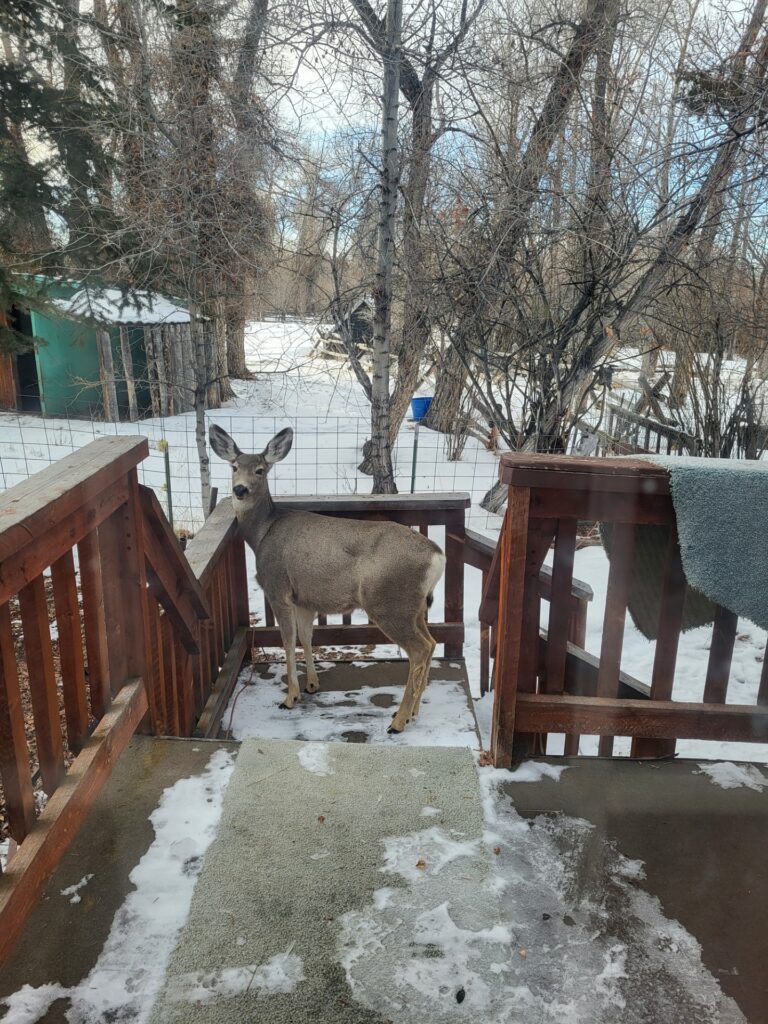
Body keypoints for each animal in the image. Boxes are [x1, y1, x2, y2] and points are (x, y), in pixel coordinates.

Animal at [209, 424, 445, 733]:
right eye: (234, 466)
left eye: (260, 470)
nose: (240, 489)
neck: (262, 533)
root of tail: (437, 556)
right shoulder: (304, 599)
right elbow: (307, 637)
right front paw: (312, 684)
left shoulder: (278, 589)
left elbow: (287, 641)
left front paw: (290, 697)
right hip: (413, 607)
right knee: (432, 643)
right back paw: (412, 713)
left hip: (388, 603)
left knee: (420, 649)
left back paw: (398, 720)